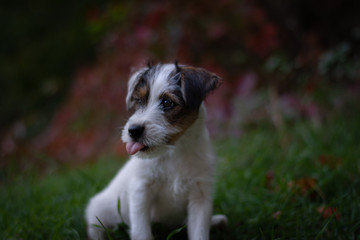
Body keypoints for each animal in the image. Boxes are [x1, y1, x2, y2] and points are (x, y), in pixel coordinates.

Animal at [84, 62, 226, 239]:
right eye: (139, 100)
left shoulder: (200, 195)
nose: (133, 131)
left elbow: (199, 231)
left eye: (167, 102)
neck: (174, 151)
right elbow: (141, 231)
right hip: (97, 211)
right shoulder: (141, 191)